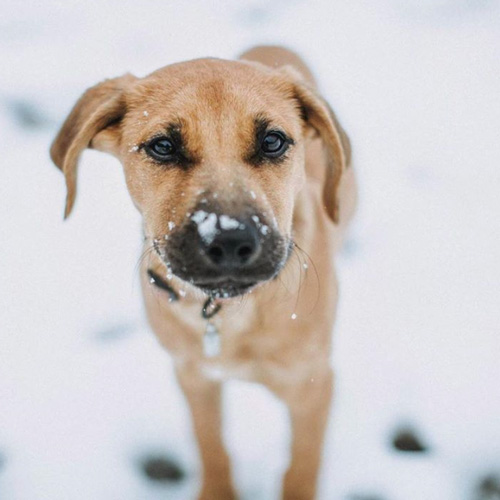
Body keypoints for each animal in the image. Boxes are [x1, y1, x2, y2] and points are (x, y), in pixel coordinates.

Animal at [49, 45, 356, 498]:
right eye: (162, 146)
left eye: (273, 141)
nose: (229, 242)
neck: (228, 316)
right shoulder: (193, 375)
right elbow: (210, 442)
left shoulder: (313, 386)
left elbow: (301, 468)